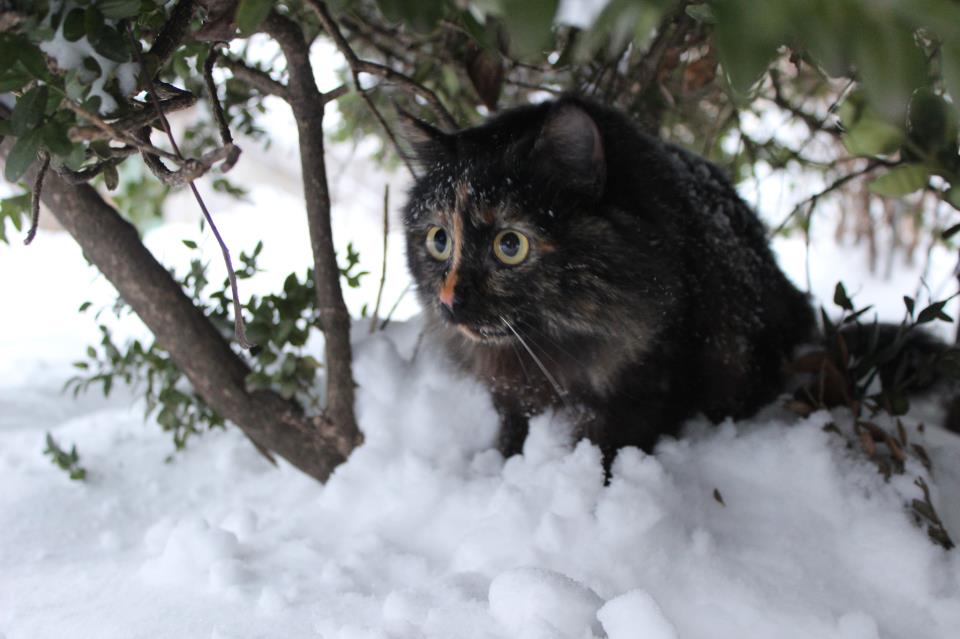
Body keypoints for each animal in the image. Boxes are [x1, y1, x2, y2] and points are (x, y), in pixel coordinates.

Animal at [401, 96, 815, 470]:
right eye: (439, 240)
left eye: (510, 245)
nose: (449, 300)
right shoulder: (511, 396)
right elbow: (512, 432)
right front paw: (505, 464)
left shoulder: (645, 387)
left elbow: (608, 447)